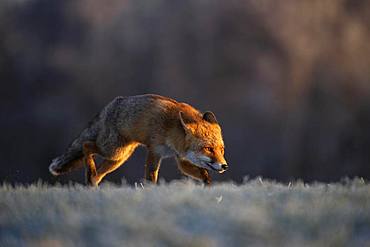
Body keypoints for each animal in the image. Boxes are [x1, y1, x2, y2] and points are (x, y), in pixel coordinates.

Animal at [49, 94, 228, 185]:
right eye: (208, 149)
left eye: (221, 150)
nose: (224, 166)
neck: (171, 132)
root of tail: (108, 107)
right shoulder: (155, 151)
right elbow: (151, 178)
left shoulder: (181, 158)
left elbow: (203, 174)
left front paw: (208, 187)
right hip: (113, 151)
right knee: (86, 145)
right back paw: (90, 171)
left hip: (118, 159)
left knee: (97, 175)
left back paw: (91, 184)